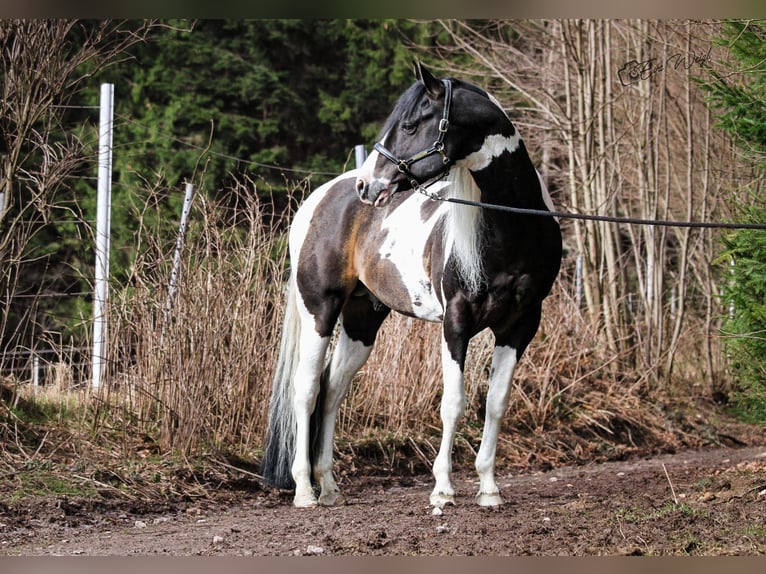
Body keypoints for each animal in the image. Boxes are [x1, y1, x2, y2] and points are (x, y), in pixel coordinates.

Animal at [260, 62, 560, 508]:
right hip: (320, 311)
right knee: (307, 389)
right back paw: (304, 491)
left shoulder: (520, 326)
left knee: (332, 391)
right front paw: (442, 489)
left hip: (362, 322)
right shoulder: (456, 322)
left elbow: (495, 404)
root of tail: (319, 199)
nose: (367, 185)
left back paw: (328, 486)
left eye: (410, 124)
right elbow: (453, 403)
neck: (513, 228)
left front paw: (489, 489)